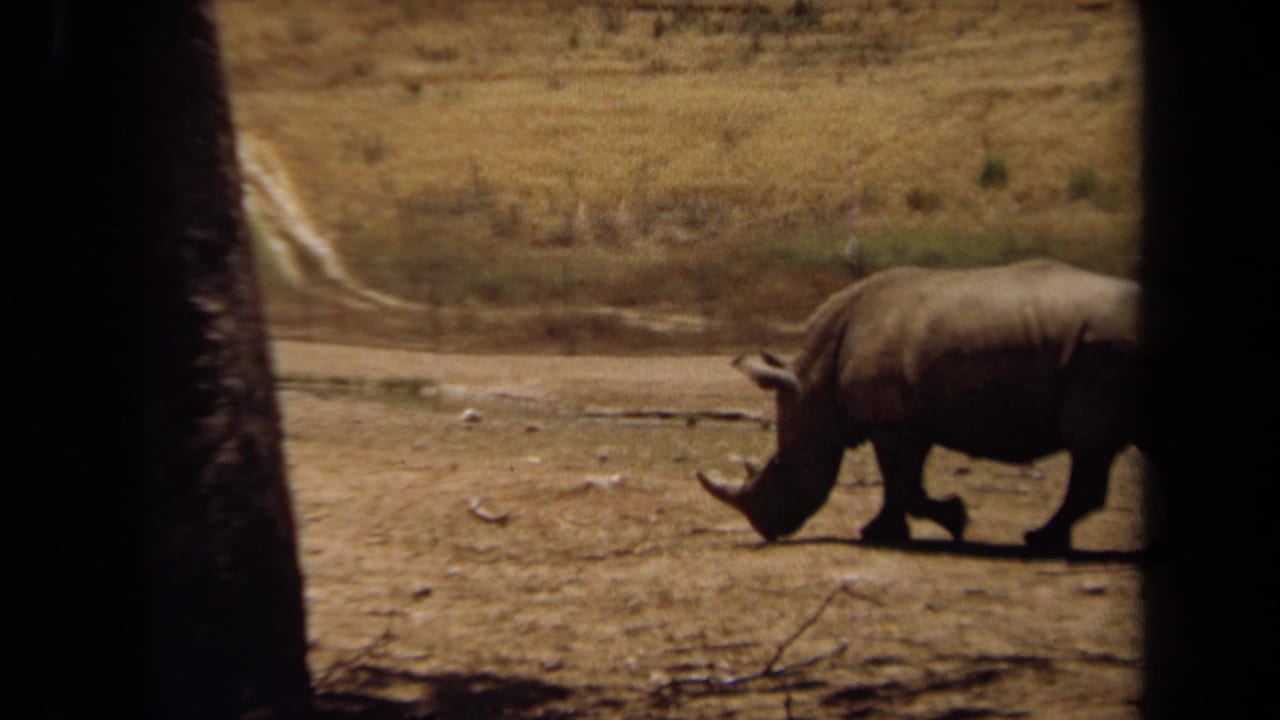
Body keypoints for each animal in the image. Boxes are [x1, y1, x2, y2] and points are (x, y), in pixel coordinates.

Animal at [697, 259, 1143, 552]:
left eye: (780, 466)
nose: (765, 527)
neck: (812, 382)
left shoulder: (894, 423)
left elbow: (905, 484)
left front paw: (955, 520)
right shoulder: (904, 421)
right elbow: (898, 484)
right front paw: (879, 533)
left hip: (1102, 350)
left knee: (1088, 443)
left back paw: (1039, 539)